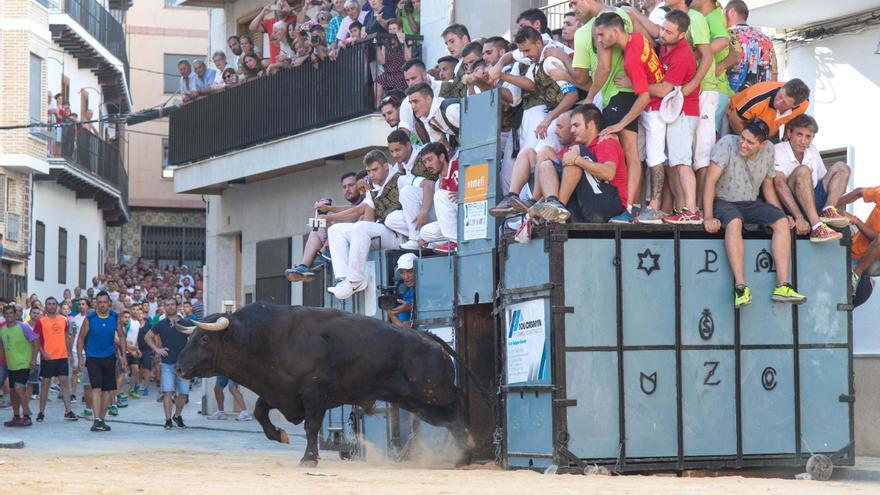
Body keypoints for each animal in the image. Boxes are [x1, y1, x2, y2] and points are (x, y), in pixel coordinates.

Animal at [173, 300, 474, 466]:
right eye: (191, 337)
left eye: (204, 339)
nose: (178, 368)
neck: (263, 338)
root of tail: (428, 338)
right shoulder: (280, 390)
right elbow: (260, 412)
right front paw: (279, 435)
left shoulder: (314, 393)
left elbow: (312, 427)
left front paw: (309, 458)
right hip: (419, 402)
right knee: (450, 419)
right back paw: (462, 456)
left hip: (432, 393)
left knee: (458, 408)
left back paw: (468, 450)